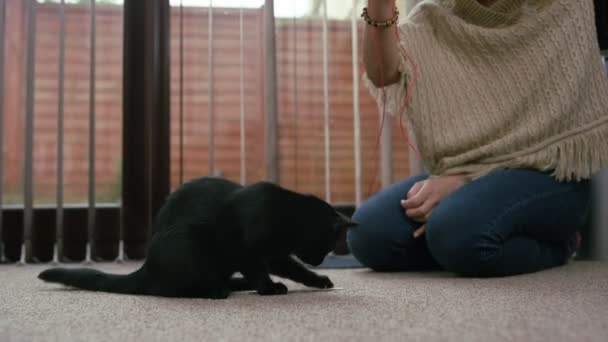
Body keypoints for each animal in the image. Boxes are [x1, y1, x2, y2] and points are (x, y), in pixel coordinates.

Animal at [38, 178, 356, 298]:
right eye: (324, 245)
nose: (320, 260)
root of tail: (146, 268)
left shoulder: (274, 254)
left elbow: (294, 268)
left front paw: (318, 280)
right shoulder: (244, 248)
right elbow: (258, 269)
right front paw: (269, 288)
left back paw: (235, 284)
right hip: (189, 242)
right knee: (171, 289)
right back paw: (218, 290)